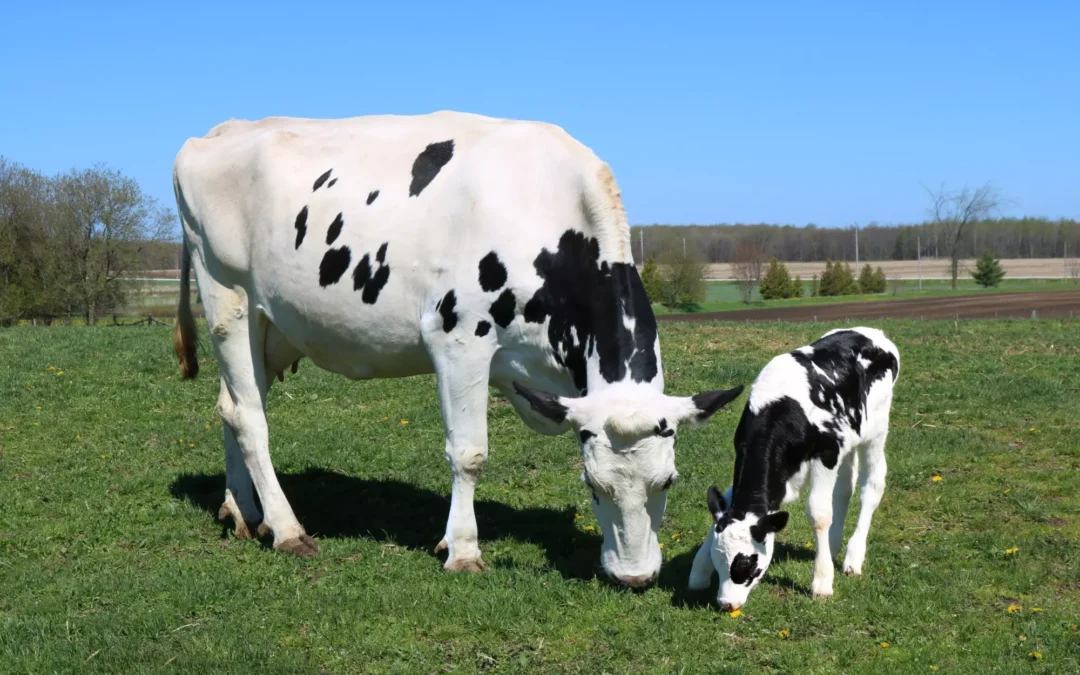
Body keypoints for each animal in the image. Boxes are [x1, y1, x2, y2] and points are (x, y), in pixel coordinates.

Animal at [170, 110, 743, 583]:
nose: (634, 577)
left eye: (667, 482)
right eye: (592, 485)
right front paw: (463, 549)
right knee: (251, 419)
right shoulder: (459, 338)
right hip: (228, 299)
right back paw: (288, 530)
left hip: (272, 327)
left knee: (232, 406)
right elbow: (469, 454)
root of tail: (219, 132)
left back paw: (242, 511)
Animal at [686, 324, 898, 609]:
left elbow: (819, 513)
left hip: (876, 431)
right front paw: (698, 571)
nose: (726, 603)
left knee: (871, 487)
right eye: (718, 562)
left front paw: (822, 582)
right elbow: (727, 504)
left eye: (748, 565)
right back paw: (832, 546)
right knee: (844, 488)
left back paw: (853, 558)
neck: (781, 410)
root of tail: (872, 332)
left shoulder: (827, 453)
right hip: (849, 439)